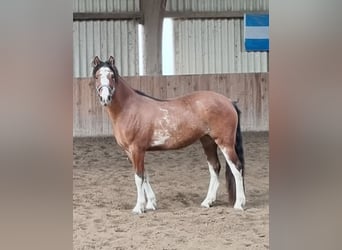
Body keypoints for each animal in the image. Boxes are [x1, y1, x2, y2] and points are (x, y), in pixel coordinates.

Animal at [91, 55, 246, 214]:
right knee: (215, 167)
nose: (105, 98)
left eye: (112, 76)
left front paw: (139, 207)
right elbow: (145, 175)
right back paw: (207, 202)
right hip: (208, 141)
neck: (128, 108)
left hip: (225, 143)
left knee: (236, 168)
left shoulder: (137, 150)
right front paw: (151, 203)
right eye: (97, 76)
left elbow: (138, 177)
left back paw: (239, 204)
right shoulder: (131, 152)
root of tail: (229, 101)